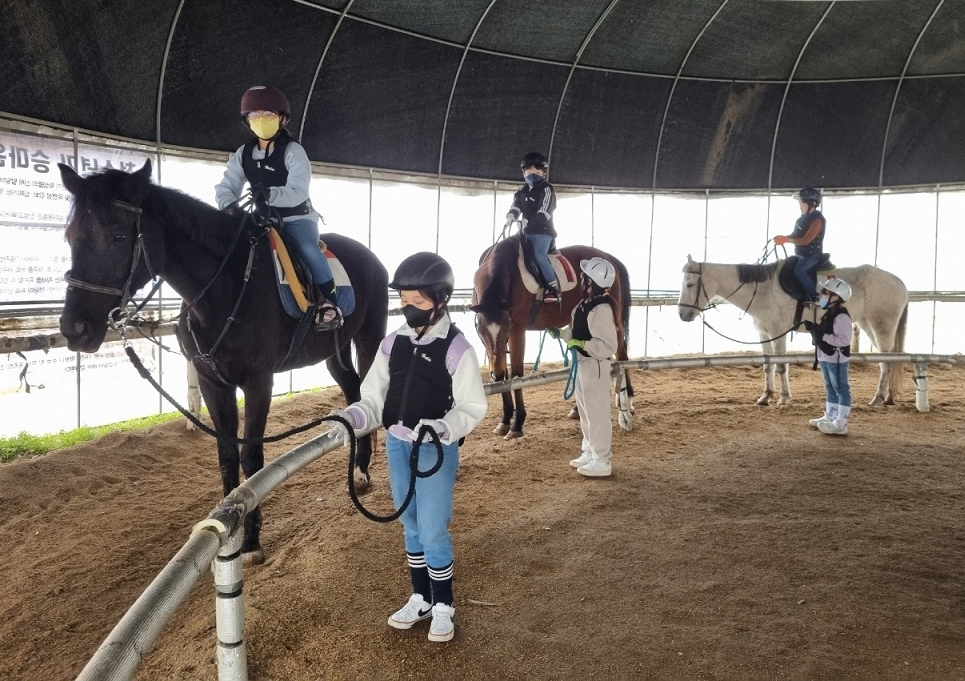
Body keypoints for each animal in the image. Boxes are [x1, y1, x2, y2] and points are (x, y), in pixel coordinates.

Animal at [56, 161, 386, 564]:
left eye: (119, 236)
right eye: (71, 236)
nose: (75, 329)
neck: (223, 290)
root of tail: (369, 257)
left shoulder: (258, 383)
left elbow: (252, 457)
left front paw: (252, 542)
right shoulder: (213, 382)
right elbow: (227, 455)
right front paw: (232, 534)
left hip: (368, 338)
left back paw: (364, 471)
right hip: (333, 353)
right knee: (352, 388)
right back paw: (359, 470)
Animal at [470, 234, 636, 436]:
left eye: (507, 327)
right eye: (479, 329)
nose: (496, 372)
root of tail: (609, 258)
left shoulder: (517, 331)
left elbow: (516, 375)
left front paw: (517, 423)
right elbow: (505, 376)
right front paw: (505, 419)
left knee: (621, 354)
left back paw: (625, 410)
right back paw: (580, 409)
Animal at [676, 254, 908, 404]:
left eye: (689, 284)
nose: (682, 314)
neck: (762, 290)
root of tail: (898, 282)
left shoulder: (778, 333)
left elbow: (780, 366)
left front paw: (783, 398)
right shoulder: (764, 334)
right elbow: (767, 365)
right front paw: (765, 396)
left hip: (882, 326)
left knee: (887, 361)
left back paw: (878, 398)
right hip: (868, 324)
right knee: (886, 360)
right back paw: (887, 397)